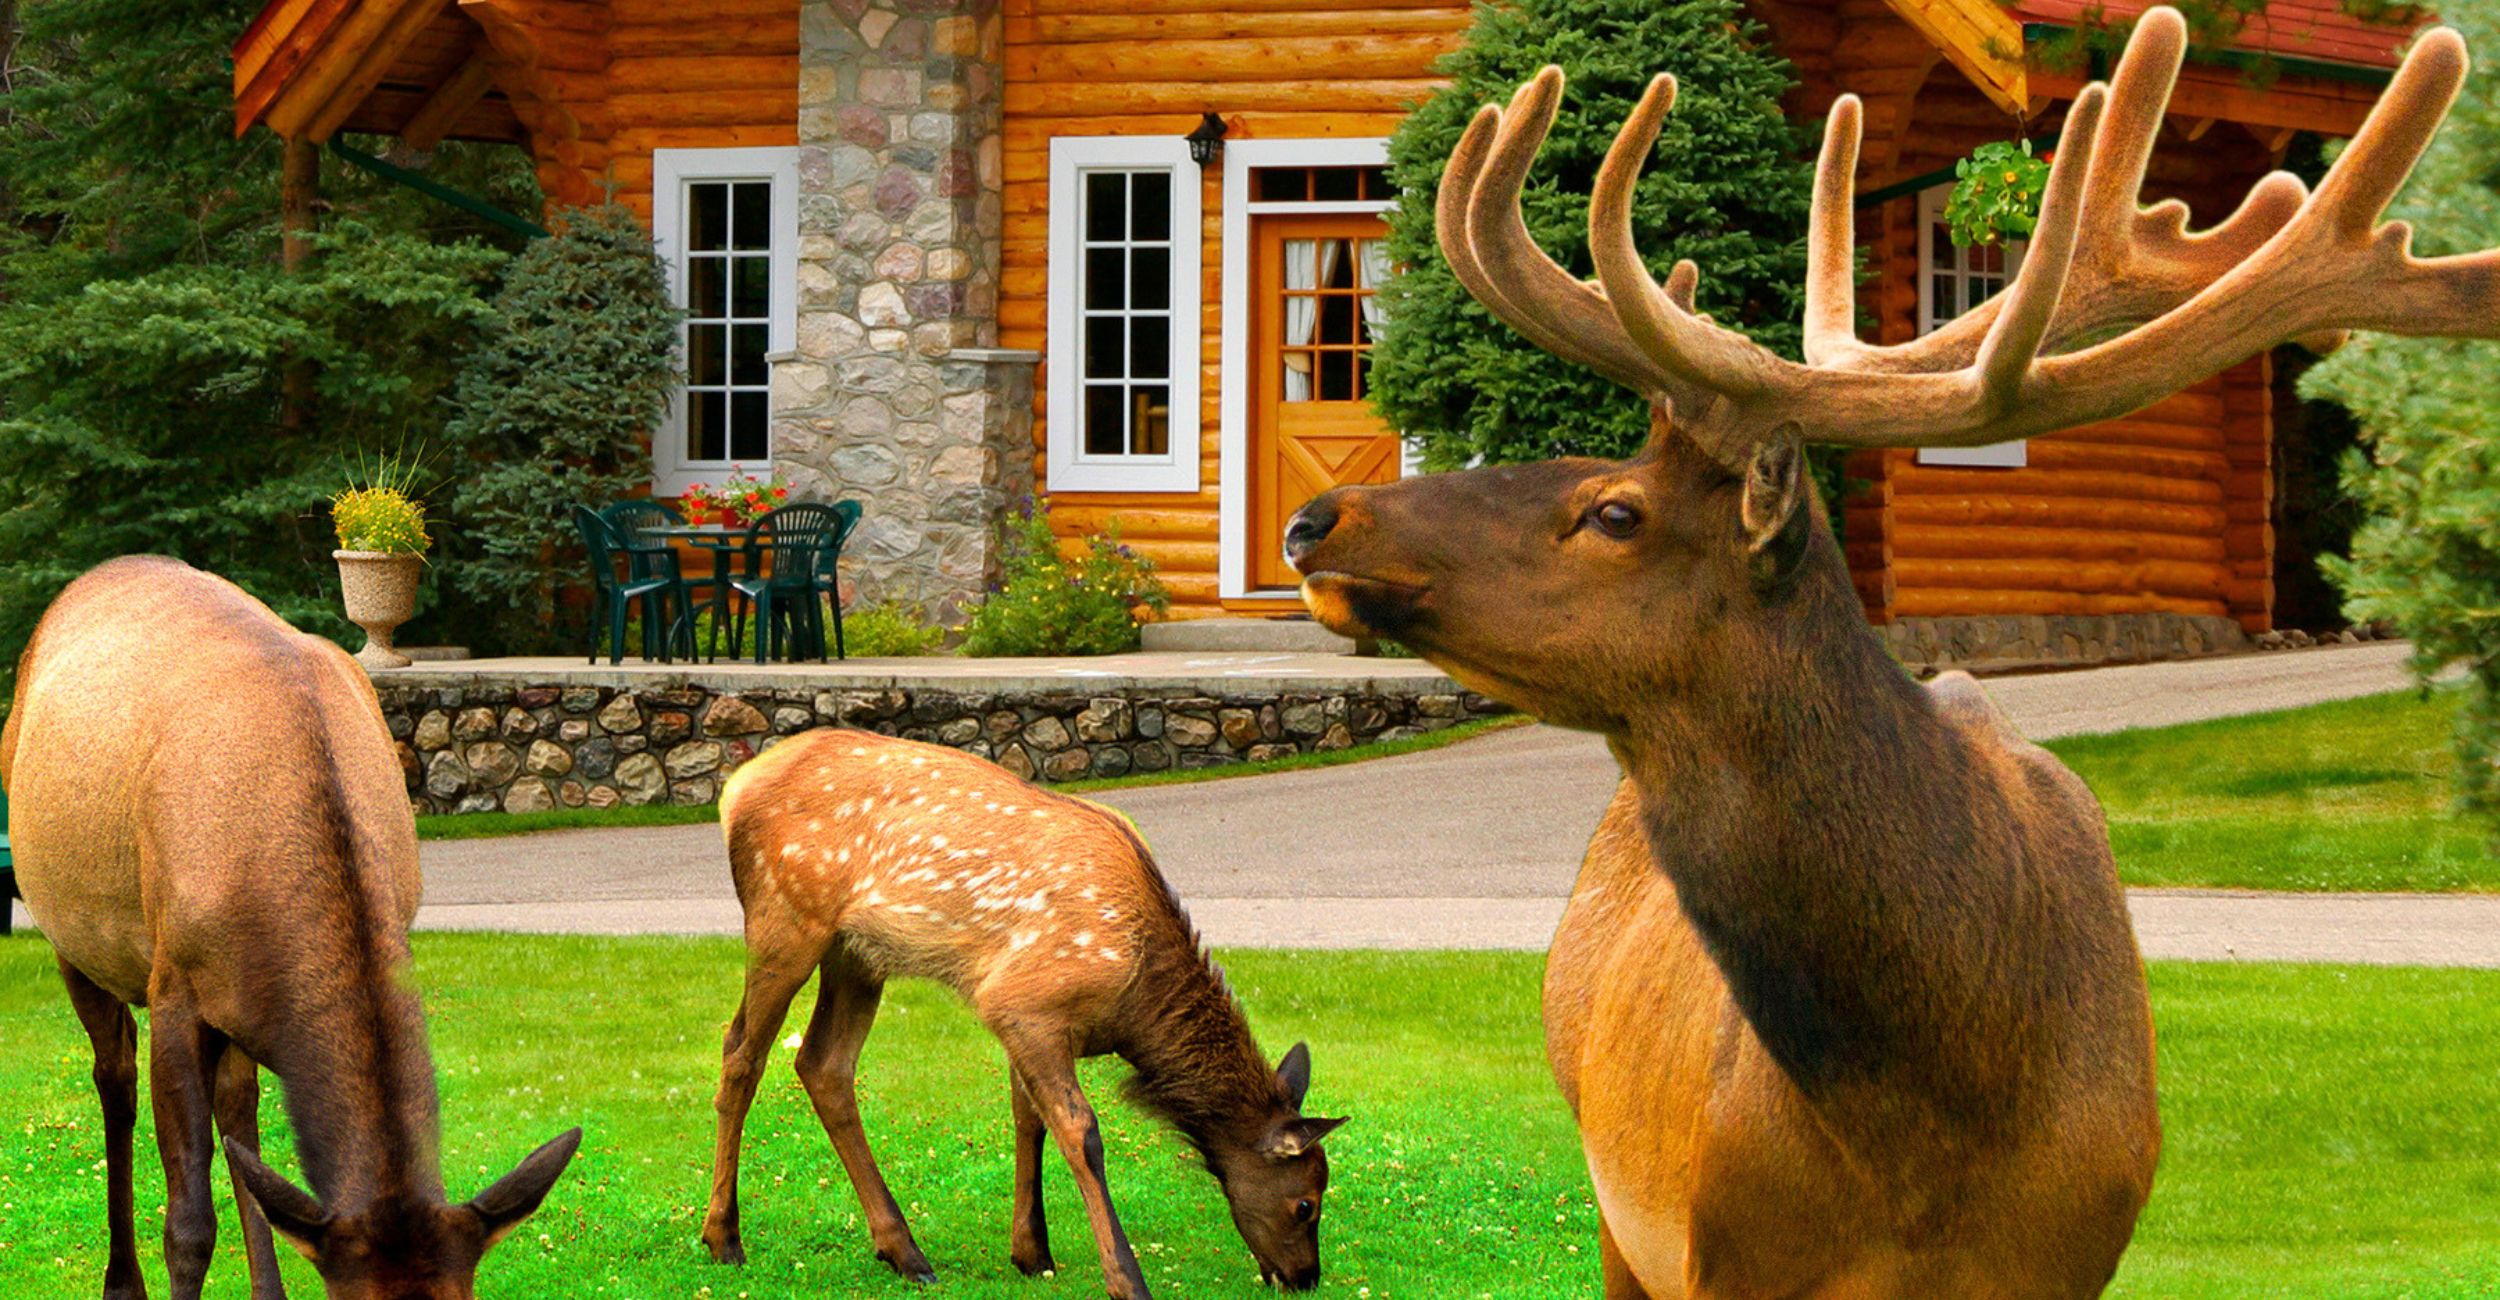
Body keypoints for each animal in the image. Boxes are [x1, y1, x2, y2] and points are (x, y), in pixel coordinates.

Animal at [1, 556, 582, 1300]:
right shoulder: (174, 986)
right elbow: (188, 1226)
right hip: (73, 935)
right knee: (114, 1076)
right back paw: (120, 1281)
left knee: (236, 1108)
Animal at [702, 727, 1349, 1299]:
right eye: (1306, 1203)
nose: (1304, 1277)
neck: (1133, 1006)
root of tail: (734, 789)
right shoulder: (1024, 1002)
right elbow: (1081, 1134)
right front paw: (1125, 1279)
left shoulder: (1030, 1020)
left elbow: (1028, 1119)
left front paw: (1032, 1253)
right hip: (784, 917)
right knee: (742, 1052)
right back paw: (723, 1238)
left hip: (858, 953)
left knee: (823, 1064)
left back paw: (903, 1251)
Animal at [1284, 10, 2500, 1296]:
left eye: (1612, 509)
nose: (1318, 521)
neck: (1931, 1122)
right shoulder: (1716, 1253)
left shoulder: (2070, 1257)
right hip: (1614, 1197)